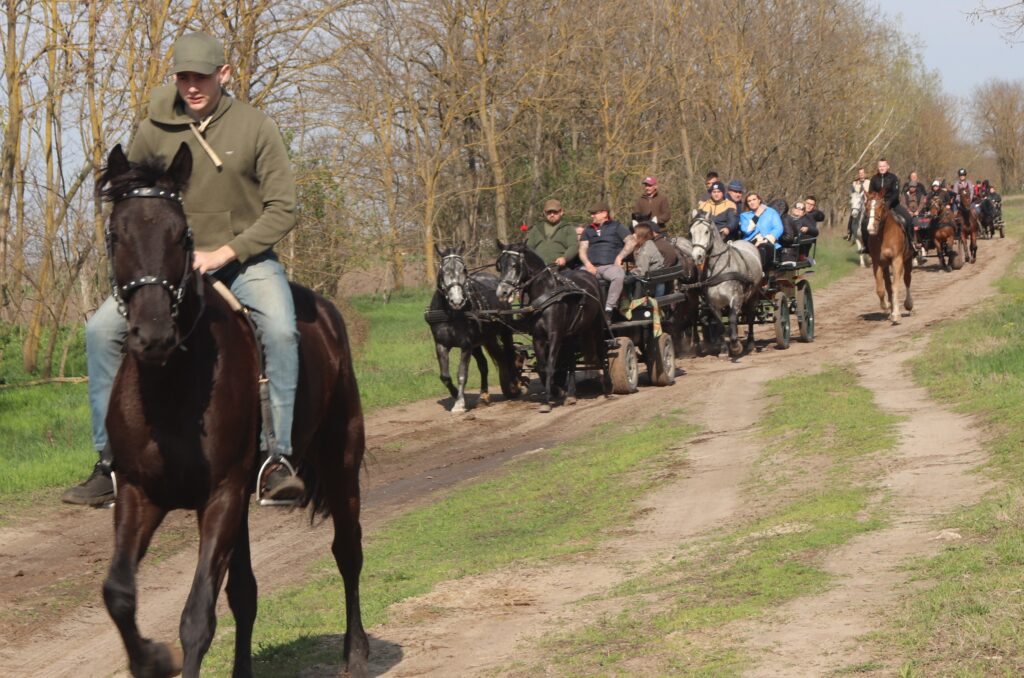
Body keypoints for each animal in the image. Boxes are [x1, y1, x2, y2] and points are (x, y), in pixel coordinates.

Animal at [98, 143, 368, 678]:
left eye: (181, 234)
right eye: (117, 233)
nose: (153, 335)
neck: (172, 387)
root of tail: (328, 314)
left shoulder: (220, 496)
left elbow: (197, 618)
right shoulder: (141, 494)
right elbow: (118, 593)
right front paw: (152, 658)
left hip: (340, 462)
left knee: (347, 551)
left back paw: (355, 653)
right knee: (245, 591)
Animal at [427, 244, 522, 412]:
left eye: (464, 269)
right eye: (443, 271)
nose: (457, 301)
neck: (451, 313)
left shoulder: (466, 345)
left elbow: (461, 374)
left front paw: (459, 403)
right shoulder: (441, 345)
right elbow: (445, 376)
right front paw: (455, 394)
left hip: (503, 332)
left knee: (509, 355)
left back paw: (514, 385)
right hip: (483, 340)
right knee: (485, 364)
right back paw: (484, 396)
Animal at [494, 241, 607, 412]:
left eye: (515, 265)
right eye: (499, 266)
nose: (502, 293)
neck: (546, 296)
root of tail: (590, 277)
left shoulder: (555, 335)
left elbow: (550, 365)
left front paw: (548, 401)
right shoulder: (538, 338)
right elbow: (543, 366)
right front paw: (556, 391)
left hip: (597, 326)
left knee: (601, 352)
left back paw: (608, 388)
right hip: (570, 335)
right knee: (571, 362)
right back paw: (571, 395)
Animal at [687, 212, 763, 357]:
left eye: (706, 231)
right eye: (691, 232)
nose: (696, 256)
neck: (719, 269)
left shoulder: (736, 297)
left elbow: (732, 319)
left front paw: (736, 346)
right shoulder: (713, 304)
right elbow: (720, 324)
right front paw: (723, 348)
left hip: (754, 295)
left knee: (751, 317)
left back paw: (750, 343)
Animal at [864, 190, 914, 323]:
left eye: (881, 207)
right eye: (867, 207)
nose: (871, 228)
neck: (884, 234)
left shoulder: (897, 260)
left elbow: (895, 286)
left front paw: (896, 315)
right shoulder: (878, 263)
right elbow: (881, 289)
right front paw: (886, 306)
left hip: (908, 260)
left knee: (907, 279)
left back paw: (908, 304)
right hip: (886, 266)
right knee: (887, 285)